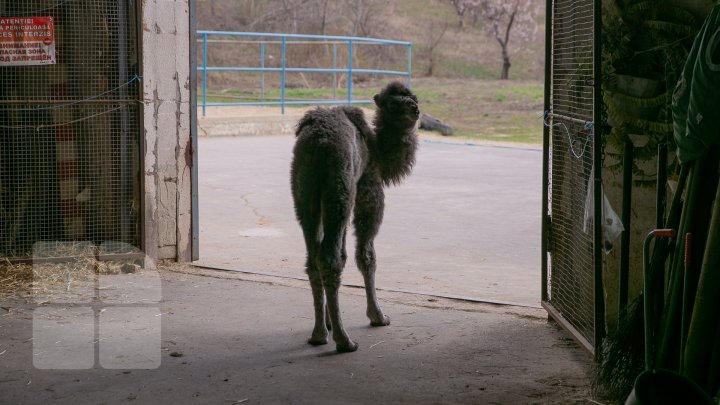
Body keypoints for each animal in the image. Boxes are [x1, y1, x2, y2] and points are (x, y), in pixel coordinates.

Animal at [290, 81, 420, 350]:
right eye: (393, 104)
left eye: (413, 97)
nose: (415, 110)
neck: (378, 149)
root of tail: (319, 144)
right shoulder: (369, 185)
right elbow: (366, 254)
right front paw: (378, 316)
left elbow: (341, 254)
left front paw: (329, 321)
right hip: (340, 193)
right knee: (330, 258)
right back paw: (344, 340)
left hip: (304, 195)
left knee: (315, 258)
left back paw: (319, 334)